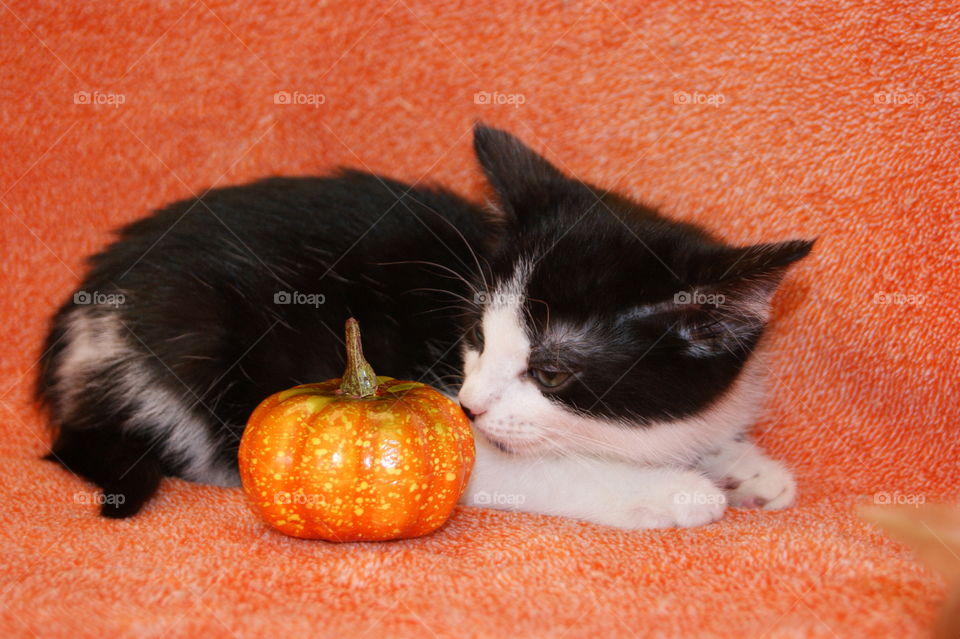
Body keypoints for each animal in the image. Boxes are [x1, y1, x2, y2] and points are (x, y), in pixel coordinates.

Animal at [41, 122, 812, 528]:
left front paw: (743, 464)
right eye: (477, 337)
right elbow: (545, 472)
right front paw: (672, 490)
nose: (470, 406)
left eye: (551, 371)